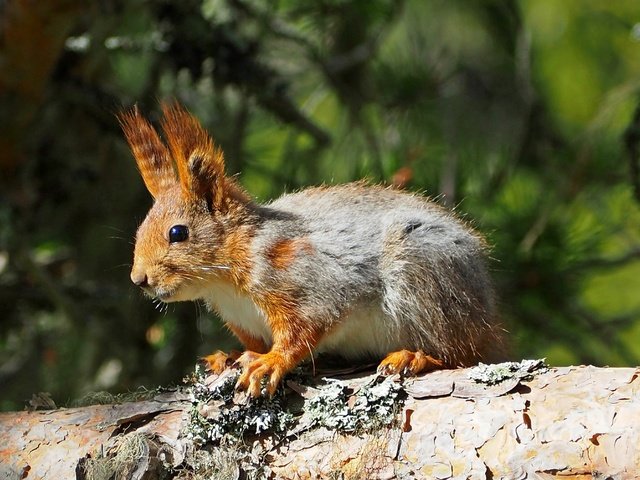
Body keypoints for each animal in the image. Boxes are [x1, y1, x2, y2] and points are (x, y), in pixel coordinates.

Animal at [117, 102, 502, 398]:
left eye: (178, 232)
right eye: (140, 228)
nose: (139, 279)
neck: (224, 282)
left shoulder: (305, 281)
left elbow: (304, 329)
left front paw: (271, 362)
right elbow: (253, 344)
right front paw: (230, 356)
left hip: (425, 281)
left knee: (462, 353)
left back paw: (414, 357)